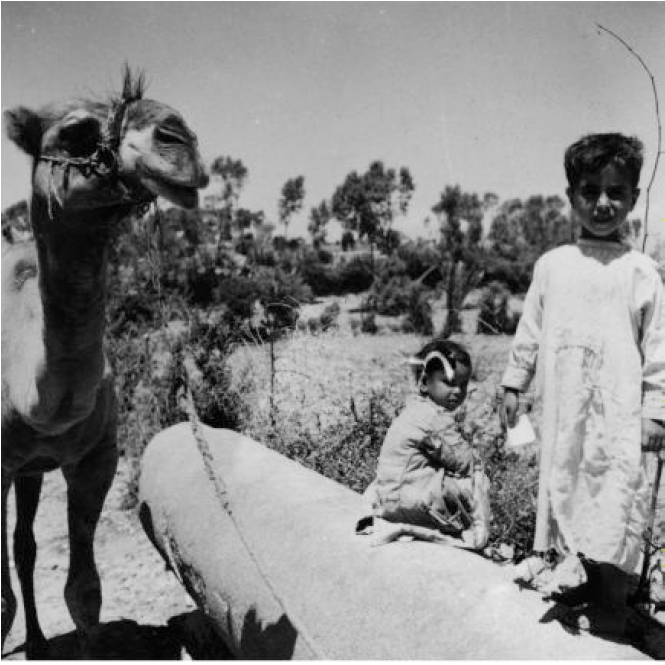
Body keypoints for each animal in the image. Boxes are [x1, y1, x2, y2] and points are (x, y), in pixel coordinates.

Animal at [0, 70, 208, 656]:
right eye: (75, 132)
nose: (180, 140)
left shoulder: (98, 458)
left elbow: (84, 592)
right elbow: (1, 602)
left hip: (32, 469)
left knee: (25, 544)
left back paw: (40, 643)